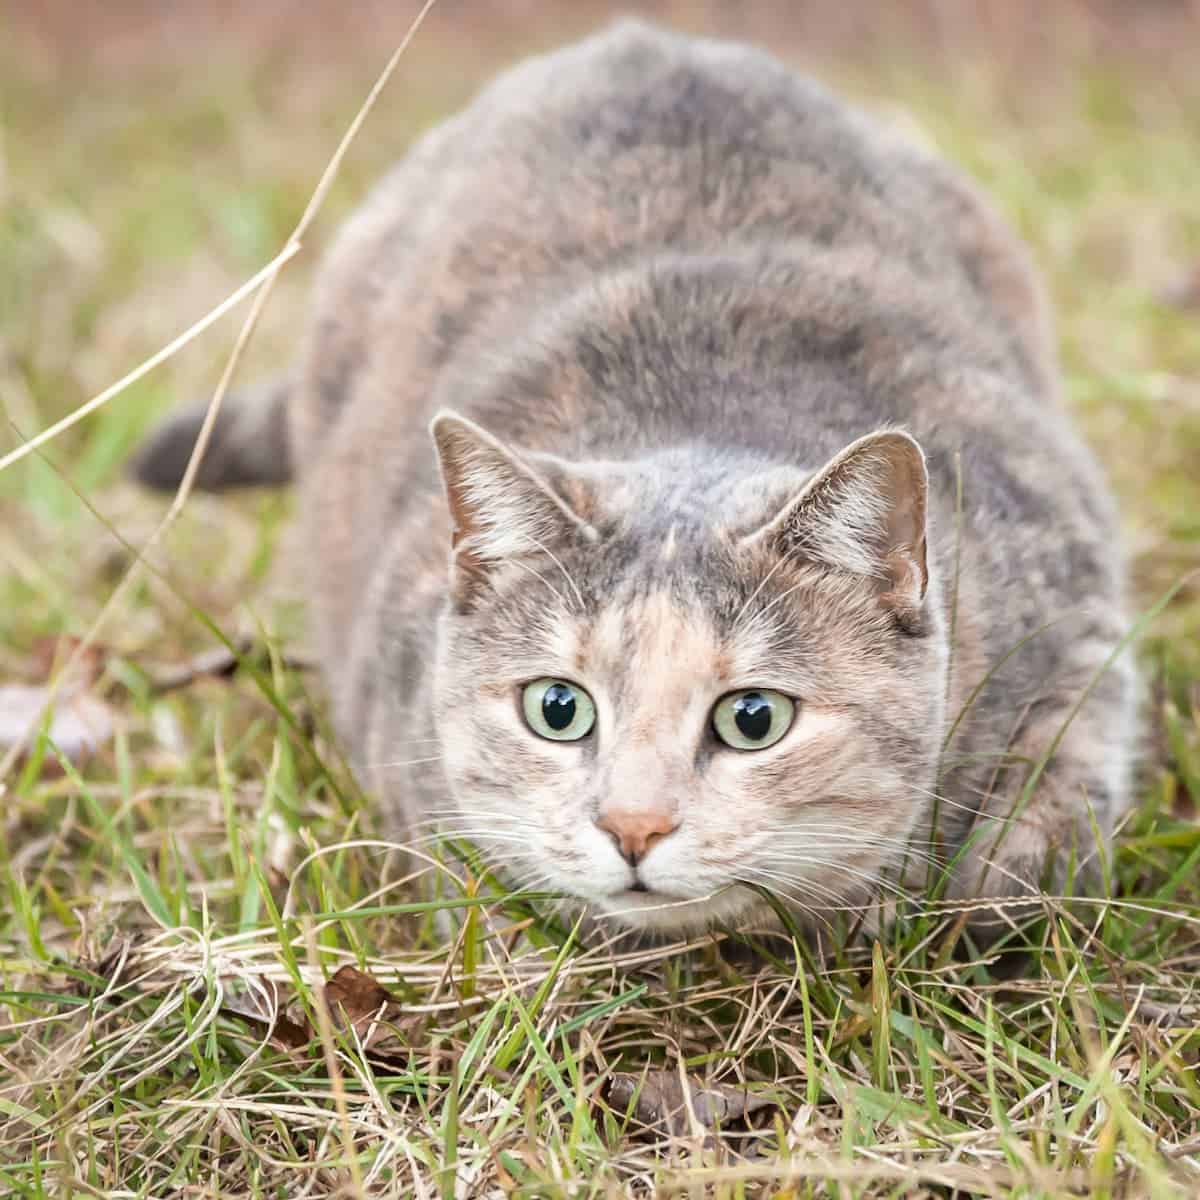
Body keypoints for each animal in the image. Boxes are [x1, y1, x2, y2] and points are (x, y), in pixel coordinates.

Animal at [131, 21, 1132, 936]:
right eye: (557, 710)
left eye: (754, 719)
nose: (633, 827)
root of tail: (644, 37)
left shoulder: (1078, 608)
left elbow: (1057, 807)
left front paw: (975, 893)